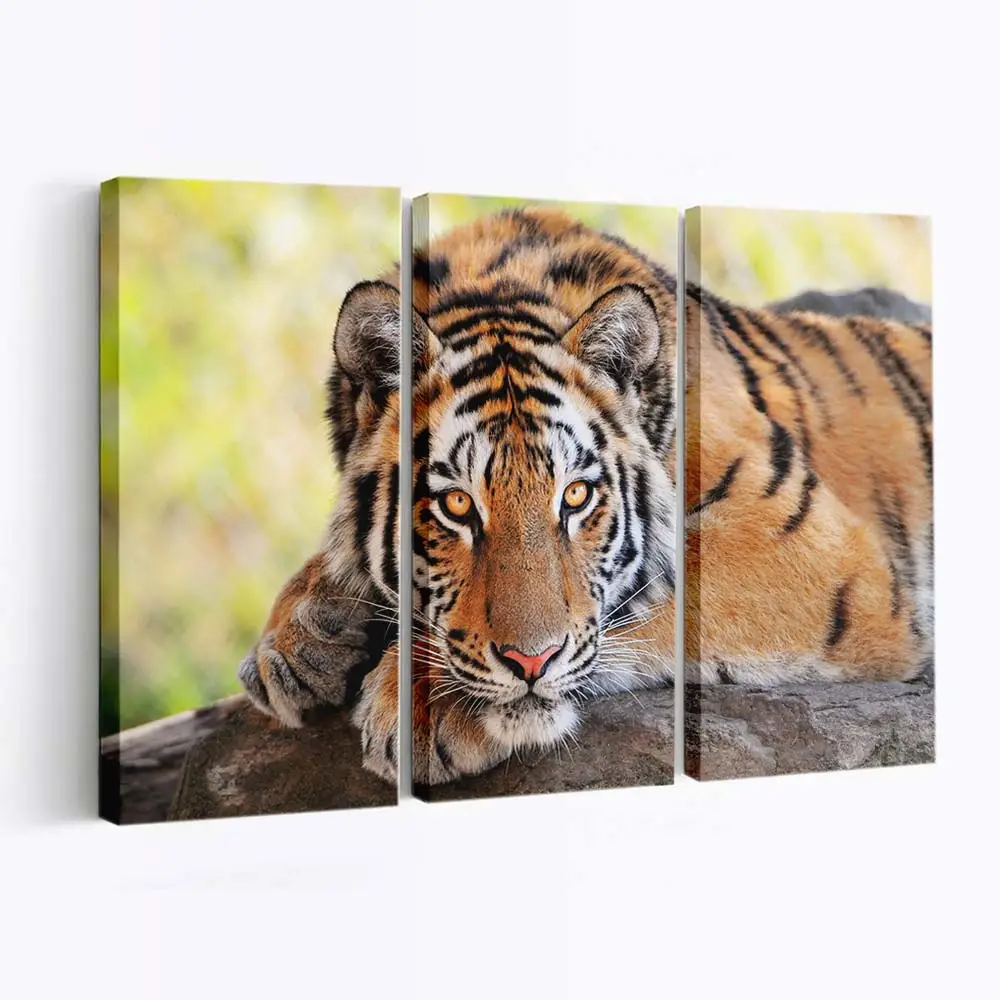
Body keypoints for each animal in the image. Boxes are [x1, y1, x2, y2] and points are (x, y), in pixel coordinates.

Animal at [237, 206, 932, 787]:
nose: (531, 662)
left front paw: (431, 705)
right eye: (457, 505)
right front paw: (296, 641)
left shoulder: (812, 542)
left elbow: (651, 591)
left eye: (574, 497)